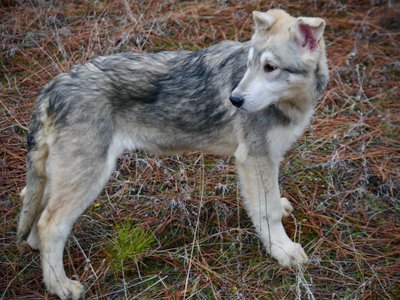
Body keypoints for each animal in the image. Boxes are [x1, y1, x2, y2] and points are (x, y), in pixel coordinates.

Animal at [17, 9, 328, 300]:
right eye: (251, 65)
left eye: (270, 67)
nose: (234, 100)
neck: (292, 102)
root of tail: (51, 88)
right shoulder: (254, 159)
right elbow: (268, 211)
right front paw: (283, 250)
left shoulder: (267, 159)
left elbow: (271, 199)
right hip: (89, 177)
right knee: (49, 225)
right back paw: (60, 286)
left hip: (60, 176)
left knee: (34, 213)